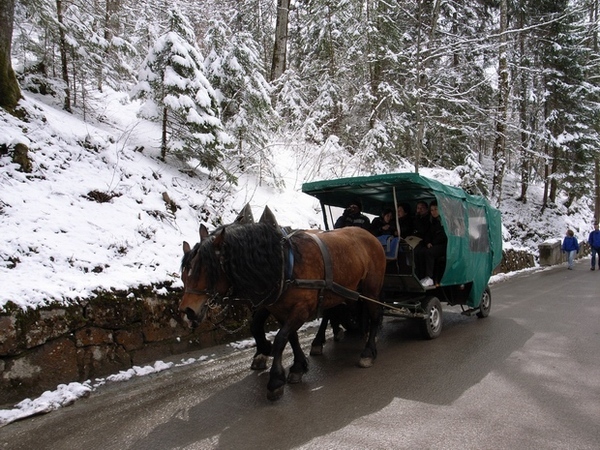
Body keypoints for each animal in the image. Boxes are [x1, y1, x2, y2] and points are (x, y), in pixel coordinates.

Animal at [178, 220, 384, 400]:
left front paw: (276, 380)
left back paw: (368, 350)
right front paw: (297, 365)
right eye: (183, 275)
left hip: (371, 290)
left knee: (374, 316)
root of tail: (370, 236)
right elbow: (287, 336)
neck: (284, 265)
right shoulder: (278, 309)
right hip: (343, 292)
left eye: (206, 270)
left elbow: (280, 339)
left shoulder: (301, 309)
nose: (187, 311)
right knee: (334, 313)